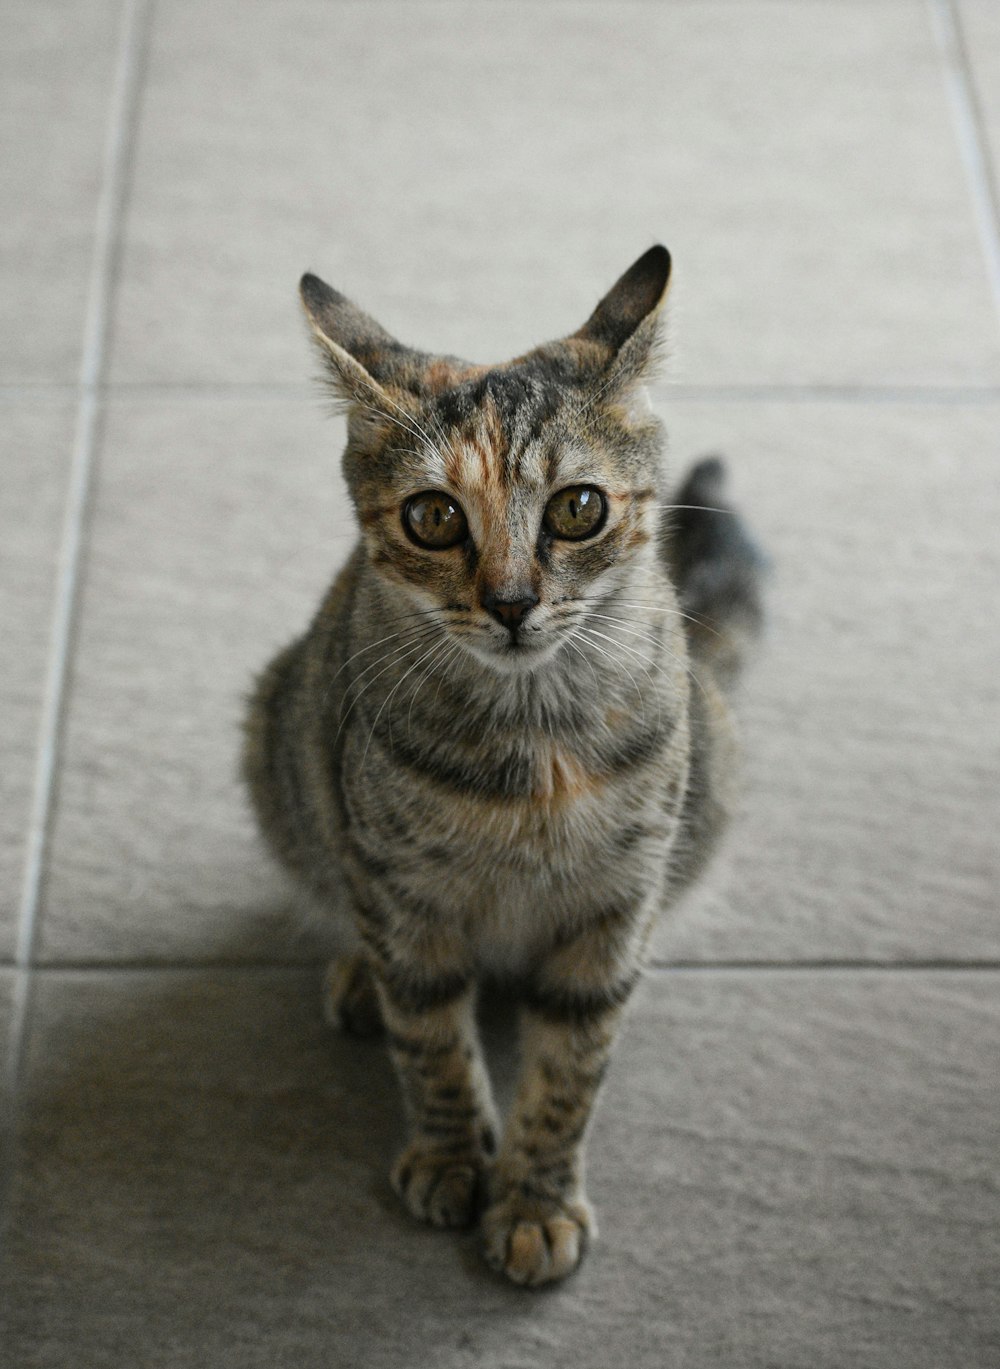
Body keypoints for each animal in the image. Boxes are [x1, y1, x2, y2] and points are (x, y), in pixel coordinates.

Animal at [243, 246, 761, 1281]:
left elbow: (569, 1072)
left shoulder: (614, 906)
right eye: (435, 517)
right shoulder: (403, 892)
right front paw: (451, 1155)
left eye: (579, 507)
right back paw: (356, 975)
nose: (514, 602)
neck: (534, 752)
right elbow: (431, 1039)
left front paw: (534, 1199)